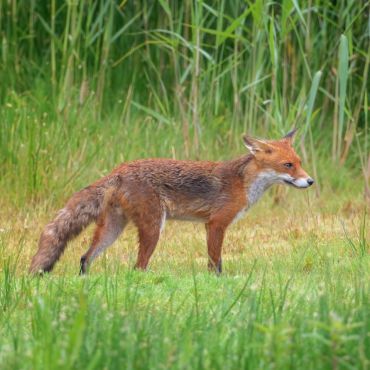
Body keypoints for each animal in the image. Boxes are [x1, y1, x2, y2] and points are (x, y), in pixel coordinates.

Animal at [28, 130, 314, 274]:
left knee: (85, 258)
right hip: (154, 228)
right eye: (288, 165)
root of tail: (119, 170)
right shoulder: (216, 224)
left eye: (300, 162)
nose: (310, 181)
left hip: (113, 228)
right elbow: (215, 263)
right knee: (137, 266)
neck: (244, 182)